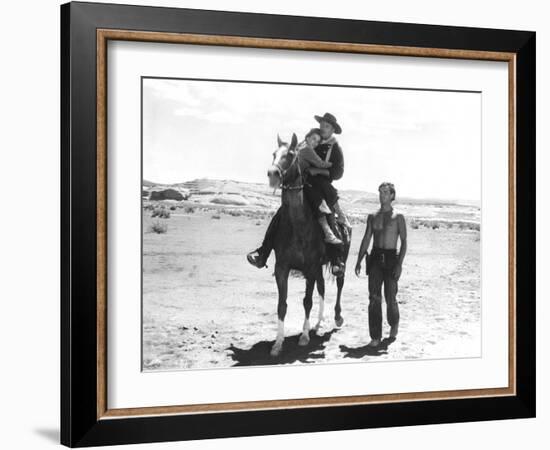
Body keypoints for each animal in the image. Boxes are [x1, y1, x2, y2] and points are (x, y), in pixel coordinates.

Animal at [268, 132, 354, 356]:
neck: (298, 224)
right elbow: (281, 305)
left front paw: (304, 337)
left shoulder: (309, 267)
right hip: (319, 268)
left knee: (339, 284)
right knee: (322, 289)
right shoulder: (282, 268)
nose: (272, 174)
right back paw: (318, 323)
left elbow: (307, 301)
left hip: (339, 262)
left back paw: (337, 318)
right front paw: (278, 343)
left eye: (290, 154)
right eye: (273, 153)